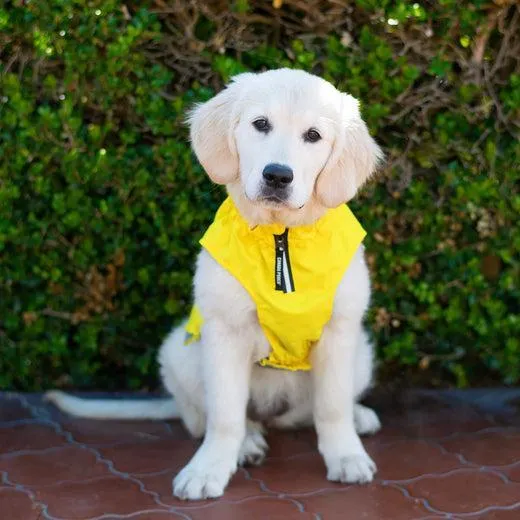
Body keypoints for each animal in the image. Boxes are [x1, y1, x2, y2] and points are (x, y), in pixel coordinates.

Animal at [46, 68, 384, 500]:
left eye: (313, 135)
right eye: (261, 124)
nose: (277, 175)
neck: (280, 237)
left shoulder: (340, 330)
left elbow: (332, 407)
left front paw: (346, 455)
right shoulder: (225, 330)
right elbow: (224, 414)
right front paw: (207, 469)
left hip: (362, 353)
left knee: (305, 412)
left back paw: (357, 417)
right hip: (180, 351)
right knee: (205, 417)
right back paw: (248, 442)